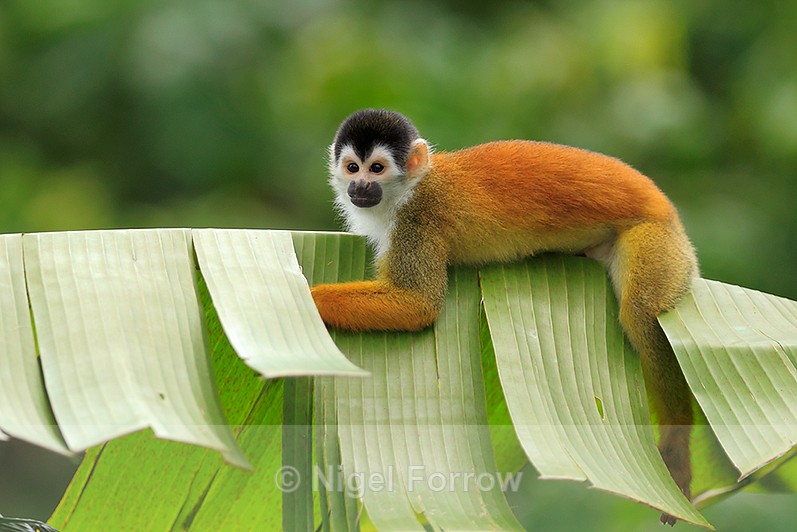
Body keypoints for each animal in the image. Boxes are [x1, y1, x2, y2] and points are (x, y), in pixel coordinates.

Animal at [311, 109, 698, 525]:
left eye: (377, 168)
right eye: (353, 167)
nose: (360, 186)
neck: (410, 188)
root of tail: (665, 207)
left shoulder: (418, 220)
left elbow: (417, 304)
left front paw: (307, 299)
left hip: (659, 242)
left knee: (640, 313)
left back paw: (677, 440)